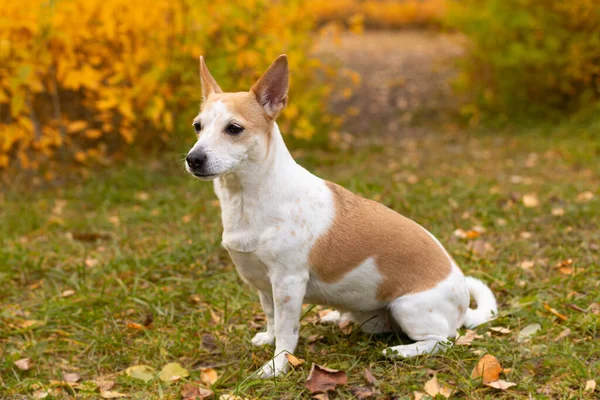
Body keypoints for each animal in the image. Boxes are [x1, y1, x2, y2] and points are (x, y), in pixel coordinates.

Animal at [184, 54, 496, 376]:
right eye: (197, 127)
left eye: (234, 129)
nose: (193, 159)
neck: (246, 198)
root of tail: (463, 305)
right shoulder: (264, 284)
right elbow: (271, 317)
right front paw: (267, 340)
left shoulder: (287, 283)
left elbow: (286, 330)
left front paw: (277, 366)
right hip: (373, 318)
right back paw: (338, 317)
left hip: (408, 308)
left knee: (443, 340)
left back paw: (401, 351)